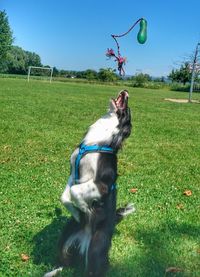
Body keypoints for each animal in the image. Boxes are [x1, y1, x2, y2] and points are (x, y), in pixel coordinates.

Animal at [43, 90, 134, 276]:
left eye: (128, 111)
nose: (126, 91)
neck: (97, 142)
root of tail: (85, 238)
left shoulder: (102, 185)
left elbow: (75, 191)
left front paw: (84, 208)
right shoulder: (72, 174)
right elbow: (64, 196)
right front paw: (77, 213)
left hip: (96, 248)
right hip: (65, 236)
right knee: (64, 261)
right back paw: (51, 272)